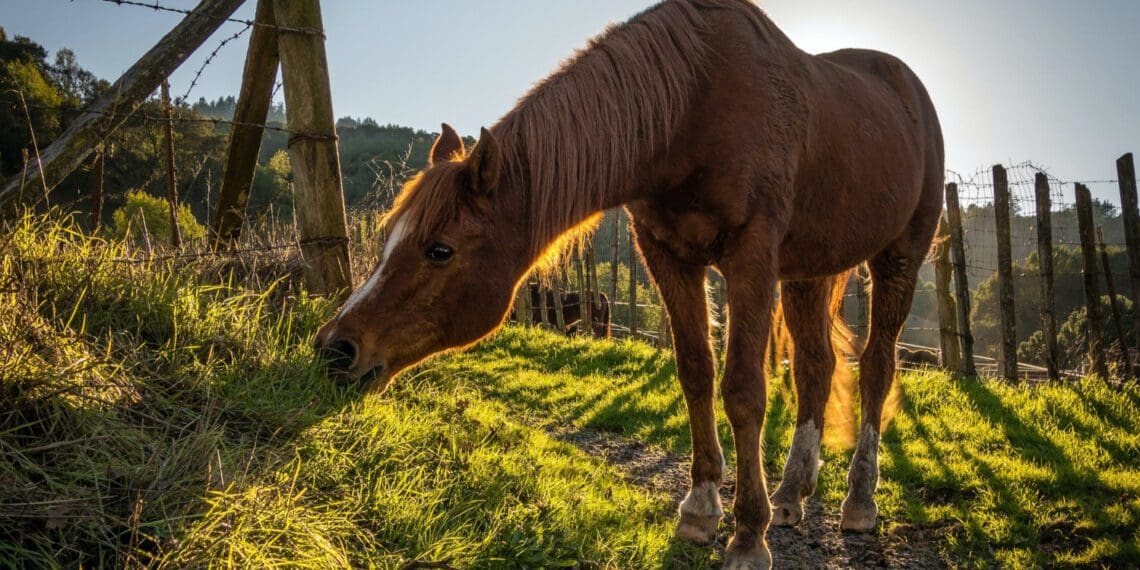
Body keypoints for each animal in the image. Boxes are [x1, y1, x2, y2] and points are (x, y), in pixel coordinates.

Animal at [315, 1, 943, 567]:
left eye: (439, 249)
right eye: (388, 236)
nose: (335, 348)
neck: (693, 107)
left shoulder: (752, 255)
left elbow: (743, 388)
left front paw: (746, 536)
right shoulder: (666, 255)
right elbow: (695, 372)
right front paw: (701, 509)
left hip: (898, 259)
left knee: (877, 366)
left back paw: (859, 501)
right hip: (810, 271)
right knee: (817, 365)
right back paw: (792, 494)